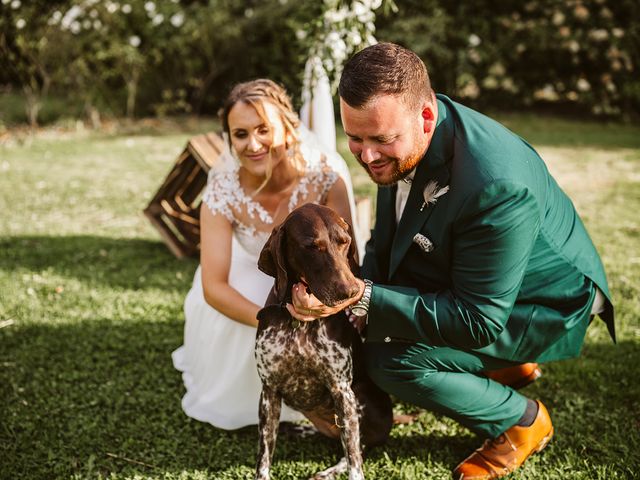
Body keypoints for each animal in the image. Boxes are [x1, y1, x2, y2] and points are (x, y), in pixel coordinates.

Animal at [254, 203, 392, 480]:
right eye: (312, 246)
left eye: (345, 241)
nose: (350, 291)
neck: (299, 325)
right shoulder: (269, 391)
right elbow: (264, 453)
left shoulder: (342, 391)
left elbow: (354, 457)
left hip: (361, 398)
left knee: (357, 447)